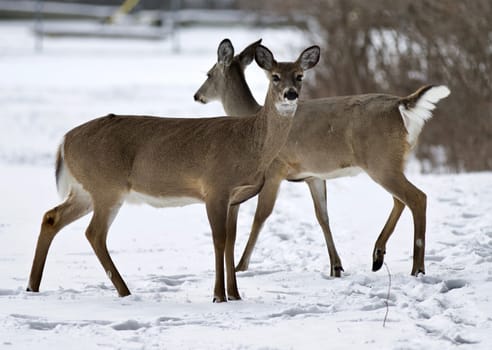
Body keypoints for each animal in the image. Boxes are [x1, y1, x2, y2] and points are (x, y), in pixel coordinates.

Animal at [26, 39, 320, 300]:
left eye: (300, 76)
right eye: (275, 77)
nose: (290, 94)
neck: (250, 142)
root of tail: (65, 140)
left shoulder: (235, 198)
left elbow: (231, 242)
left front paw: (236, 295)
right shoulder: (215, 187)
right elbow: (219, 240)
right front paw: (219, 296)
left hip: (86, 189)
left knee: (52, 217)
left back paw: (33, 286)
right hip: (107, 186)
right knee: (94, 233)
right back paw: (124, 291)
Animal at [193, 39, 450, 278]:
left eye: (208, 74)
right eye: (275, 77)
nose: (197, 96)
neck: (255, 119)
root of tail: (402, 105)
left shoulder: (276, 170)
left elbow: (261, 216)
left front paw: (241, 266)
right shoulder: (313, 176)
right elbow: (323, 216)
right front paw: (336, 266)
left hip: (381, 161)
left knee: (417, 197)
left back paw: (417, 268)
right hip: (393, 162)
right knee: (400, 200)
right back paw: (378, 255)